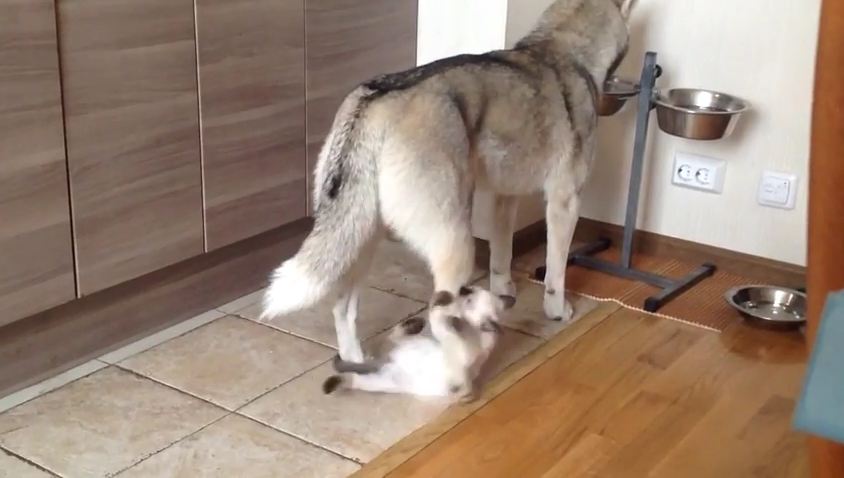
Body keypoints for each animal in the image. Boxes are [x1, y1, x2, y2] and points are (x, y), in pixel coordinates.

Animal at [260, 0, 636, 362]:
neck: (562, 50)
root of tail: (373, 102)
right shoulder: (565, 201)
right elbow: (556, 270)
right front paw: (557, 310)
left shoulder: (504, 198)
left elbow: (502, 255)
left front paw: (504, 293)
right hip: (454, 240)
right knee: (439, 318)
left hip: (358, 236)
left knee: (342, 307)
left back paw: (356, 360)